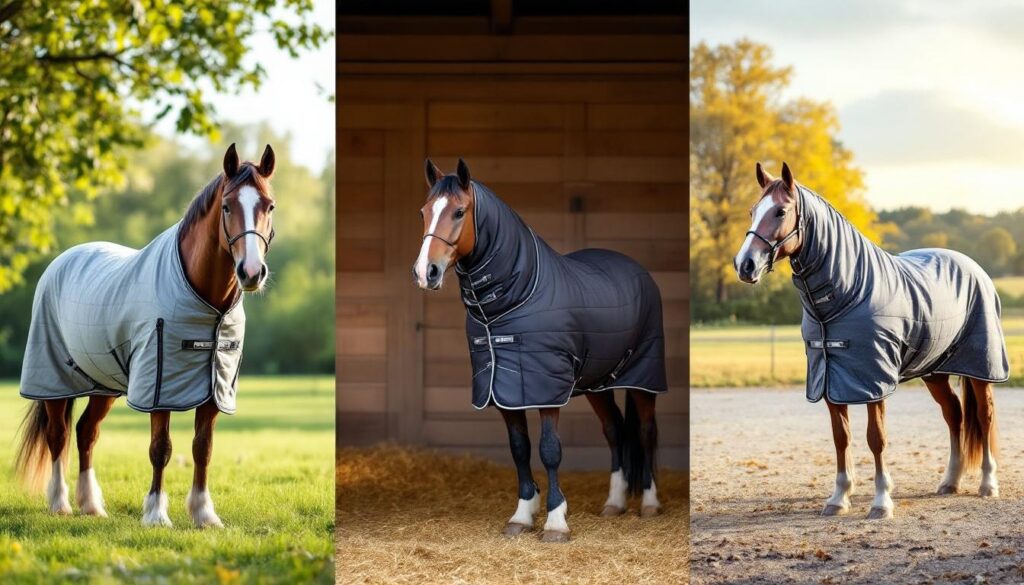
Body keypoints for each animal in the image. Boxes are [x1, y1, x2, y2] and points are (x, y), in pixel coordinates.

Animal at [14, 143, 277, 528]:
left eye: (269, 205)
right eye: (228, 205)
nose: (252, 272)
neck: (206, 302)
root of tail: (62, 260)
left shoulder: (214, 387)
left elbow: (203, 448)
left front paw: (203, 514)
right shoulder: (159, 385)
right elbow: (161, 448)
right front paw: (156, 514)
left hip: (103, 384)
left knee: (86, 432)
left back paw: (91, 505)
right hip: (53, 379)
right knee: (58, 435)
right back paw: (60, 503)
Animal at [412, 158, 668, 542]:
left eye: (459, 211)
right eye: (425, 212)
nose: (425, 272)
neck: (512, 299)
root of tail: (638, 271)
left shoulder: (546, 389)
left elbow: (549, 450)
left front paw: (556, 521)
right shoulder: (502, 388)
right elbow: (519, 448)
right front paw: (521, 515)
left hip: (643, 379)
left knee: (645, 431)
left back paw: (650, 503)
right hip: (598, 384)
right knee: (615, 430)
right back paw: (614, 502)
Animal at [734, 161, 1009, 519]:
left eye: (780, 211)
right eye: (753, 211)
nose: (744, 265)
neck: (846, 294)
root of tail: (974, 267)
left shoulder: (872, 381)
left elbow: (875, 438)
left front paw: (881, 502)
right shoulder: (830, 378)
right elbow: (841, 438)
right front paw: (838, 498)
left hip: (980, 368)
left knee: (984, 416)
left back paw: (988, 484)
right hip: (934, 371)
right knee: (955, 414)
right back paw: (950, 481)